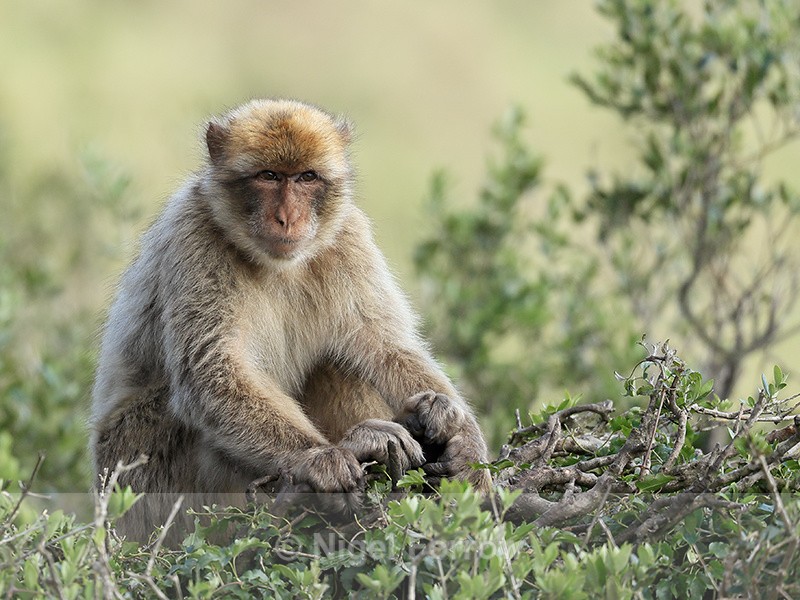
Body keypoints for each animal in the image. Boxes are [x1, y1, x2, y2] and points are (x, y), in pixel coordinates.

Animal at [89, 99, 491, 541]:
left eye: (306, 177)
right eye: (268, 176)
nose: (287, 218)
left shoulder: (348, 236)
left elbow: (385, 341)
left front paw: (462, 436)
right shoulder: (192, 236)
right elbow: (212, 372)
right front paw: (323, 458)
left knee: (339, 364)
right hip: (135, 478)